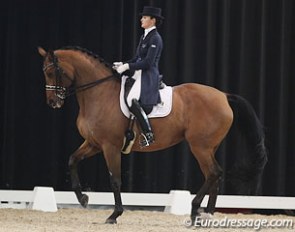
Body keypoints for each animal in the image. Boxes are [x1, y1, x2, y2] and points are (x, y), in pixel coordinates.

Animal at [37, 45, 268, 225]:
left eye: (51, 72)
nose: (53, 102)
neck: (98, 94)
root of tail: (223, 95)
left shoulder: (110, 146)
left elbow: (115, 180)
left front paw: (114, 215)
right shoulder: (94, 143)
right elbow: (72, 160)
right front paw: (83, 198)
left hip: (200, 146)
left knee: (213, 173)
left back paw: (195, 210)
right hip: (208, 146)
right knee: (215, 175)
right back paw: (207, 215)